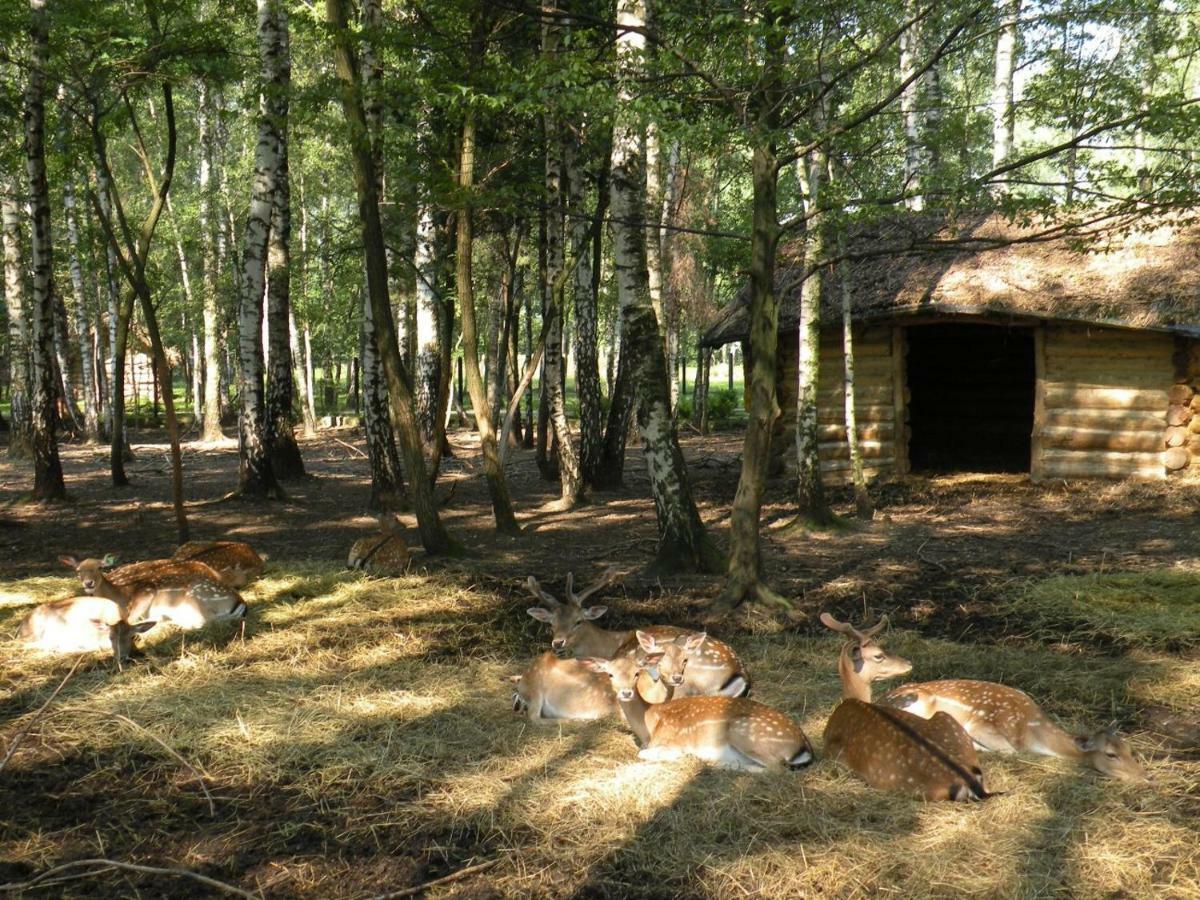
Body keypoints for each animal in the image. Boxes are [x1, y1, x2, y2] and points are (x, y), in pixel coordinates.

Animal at [60, 554, 246, 628]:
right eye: (77, 570)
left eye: (99, 568)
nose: (88, 583)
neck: (119, 596)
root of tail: (240, 601)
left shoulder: (145, 592)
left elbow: (128, 619)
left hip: (197, 598)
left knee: (203, 621)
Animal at [583, 648, 816, 777]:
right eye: (610, 674)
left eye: (636, 673)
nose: (626, 692)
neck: (649, 721)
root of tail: (804, 746)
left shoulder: (673, 742)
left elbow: (643, 754)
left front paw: (681, 757)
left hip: (744, 732)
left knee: (776, 769)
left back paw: (719, 765)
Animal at [816, 614, 993, 801]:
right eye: (878, 655)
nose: (908, 663)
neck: (851, 700)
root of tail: (967, 780)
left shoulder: (831, 755)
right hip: (947, 719)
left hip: (887, 780)